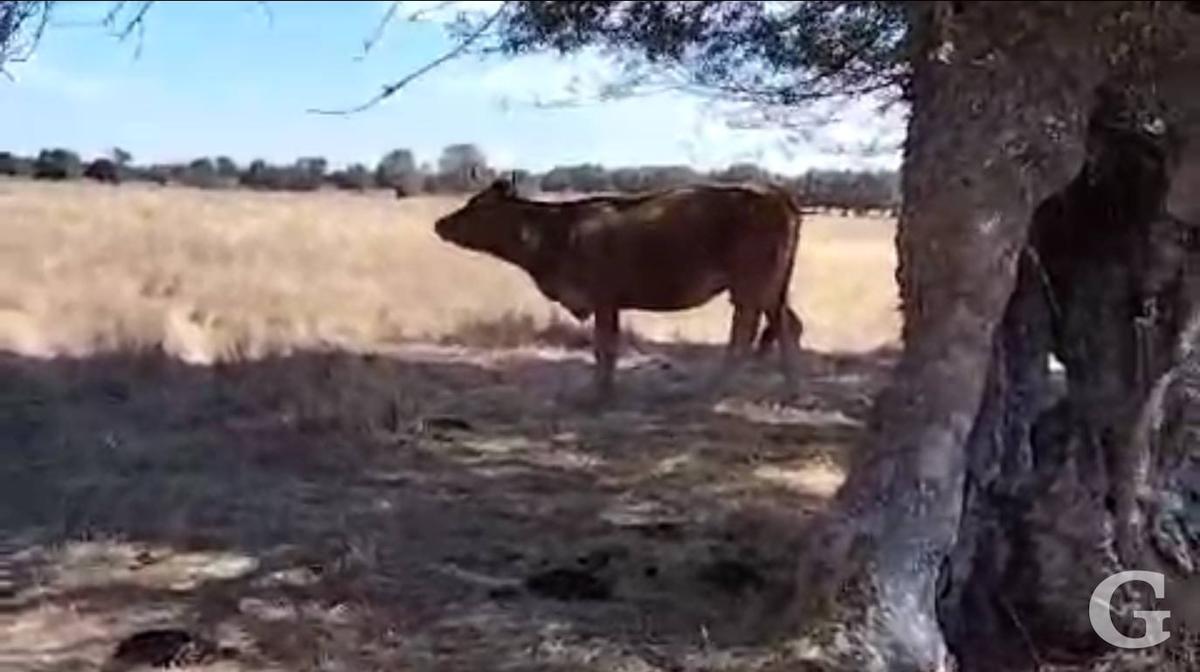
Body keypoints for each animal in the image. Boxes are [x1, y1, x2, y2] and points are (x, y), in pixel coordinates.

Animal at [434, 177, 806, 398]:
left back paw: (715, 389)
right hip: (773, 287)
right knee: (787, 324)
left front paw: (600, 394)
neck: (559, 232)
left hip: (751, 284)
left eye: (478, 205)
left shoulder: (604, 297)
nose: (440, 223)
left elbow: (605, 348)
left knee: (748, 331)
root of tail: (775, 194)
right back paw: (790, 389)